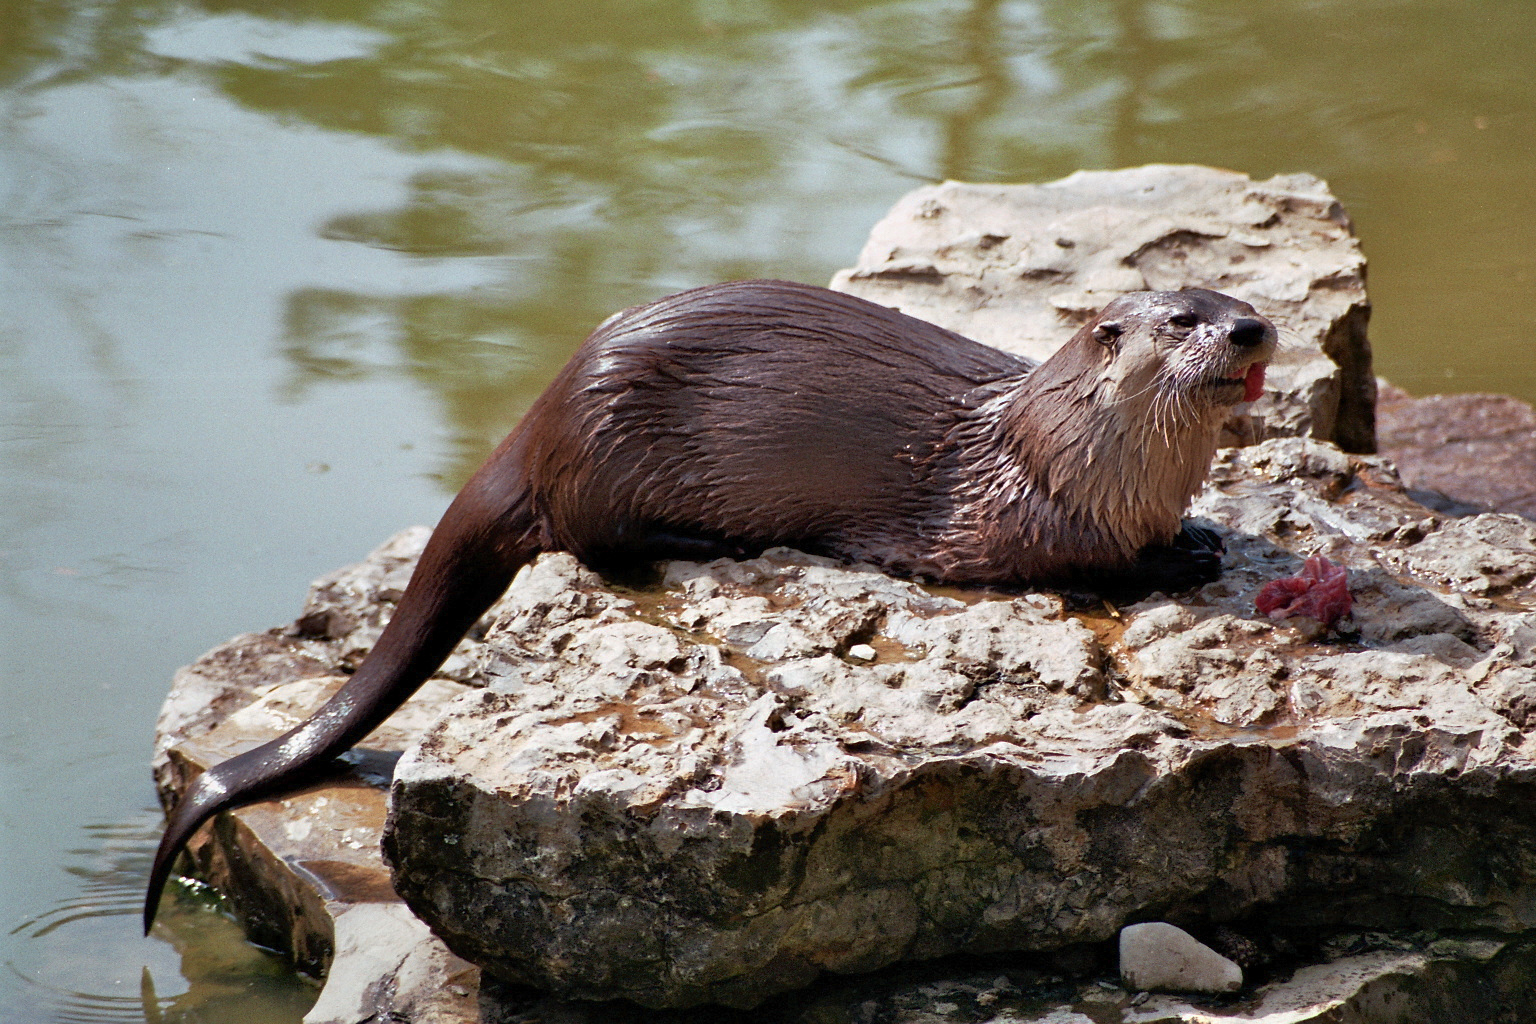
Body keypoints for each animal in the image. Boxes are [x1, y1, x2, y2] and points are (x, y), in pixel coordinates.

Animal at [143, 279, 1274, 930]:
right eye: (1185, 321)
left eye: (1237, 296)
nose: (1254, 328)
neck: (1071, 454)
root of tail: (543, 414)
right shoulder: (1007, 522)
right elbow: (1079, 563)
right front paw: (1170, 561)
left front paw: (1195, 536)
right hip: (609, 448)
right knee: (588, 535)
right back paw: (705, 540)